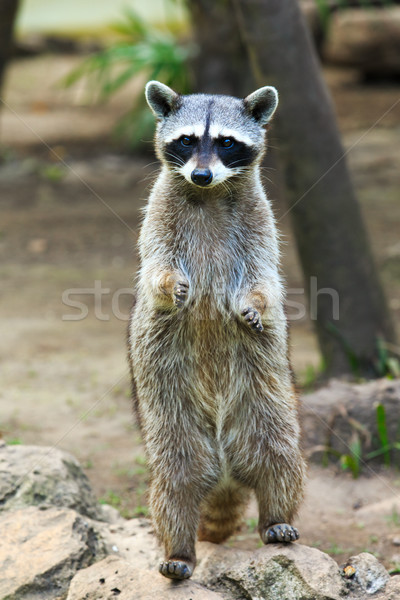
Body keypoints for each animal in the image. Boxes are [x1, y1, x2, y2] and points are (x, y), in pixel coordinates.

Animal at [128, 81, 306, 580]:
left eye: (226, 142)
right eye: (187, 140)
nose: (202, 175)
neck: (208, 194)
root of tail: (225, 472)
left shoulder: (261, 219)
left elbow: (264, 276)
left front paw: (254, 303)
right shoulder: (158, 214)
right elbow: (156, 267)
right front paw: (169, 285)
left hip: (267, 406)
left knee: (281, 460)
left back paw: (277, 518)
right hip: (169, 420)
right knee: (173, 485)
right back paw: (179, 549)